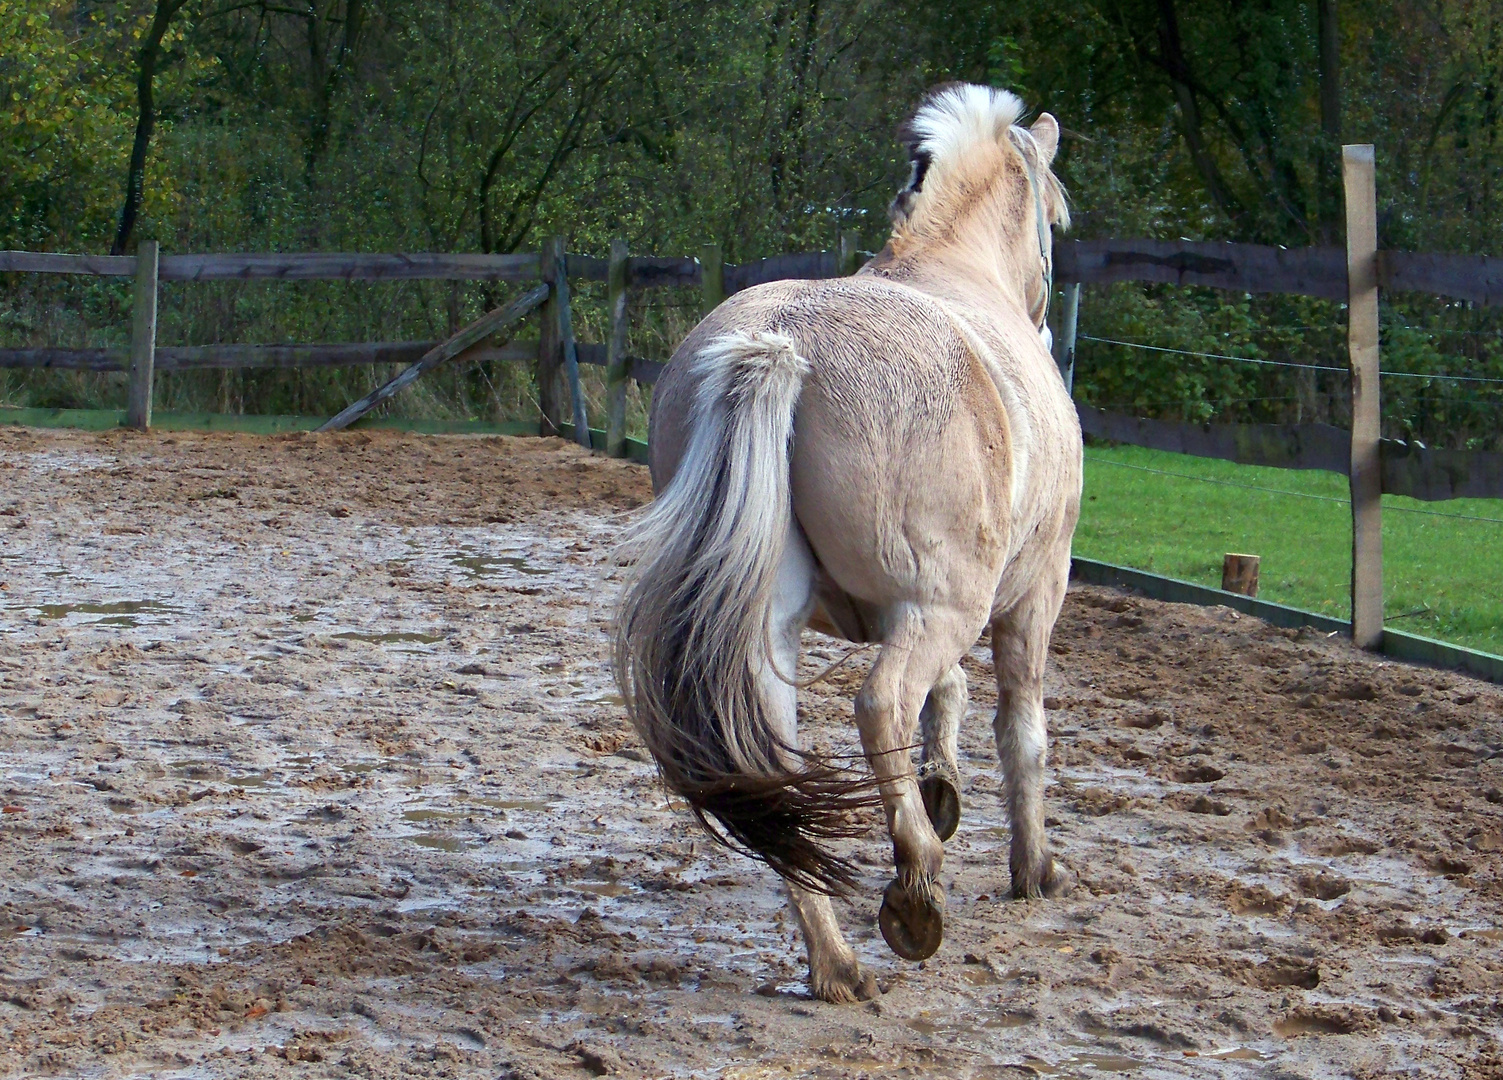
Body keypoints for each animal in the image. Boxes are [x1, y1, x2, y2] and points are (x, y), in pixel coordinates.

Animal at [613, 84, 1082, 1003]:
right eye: (1057, 217)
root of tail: (781, 342)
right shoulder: (1029, 596)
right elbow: (1021, 732)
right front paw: (1032, 867)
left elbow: (952, 700)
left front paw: (942, 786)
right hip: (942, 607)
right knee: (881, 703)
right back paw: (914, 893)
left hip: (771, 626)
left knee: (775, 760)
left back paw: (836, 966)